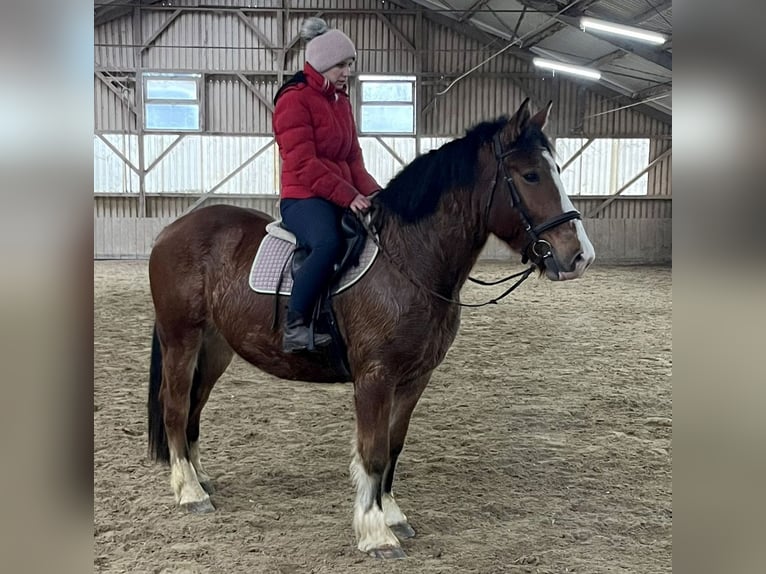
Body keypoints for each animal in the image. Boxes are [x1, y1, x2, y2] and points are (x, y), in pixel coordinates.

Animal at [146, 98, 595, 559]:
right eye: (530, 175)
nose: (579, 256)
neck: (409, 259)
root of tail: (171, 231)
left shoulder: (414, 378)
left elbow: (394, 446)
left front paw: (393, 514)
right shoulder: (375, 378)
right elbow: (374, 451)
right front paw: (376, 532)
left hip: (215, 347)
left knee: (194, 407)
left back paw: (200, 478)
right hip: (182, 338)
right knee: (175, 406)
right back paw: (189, 492)